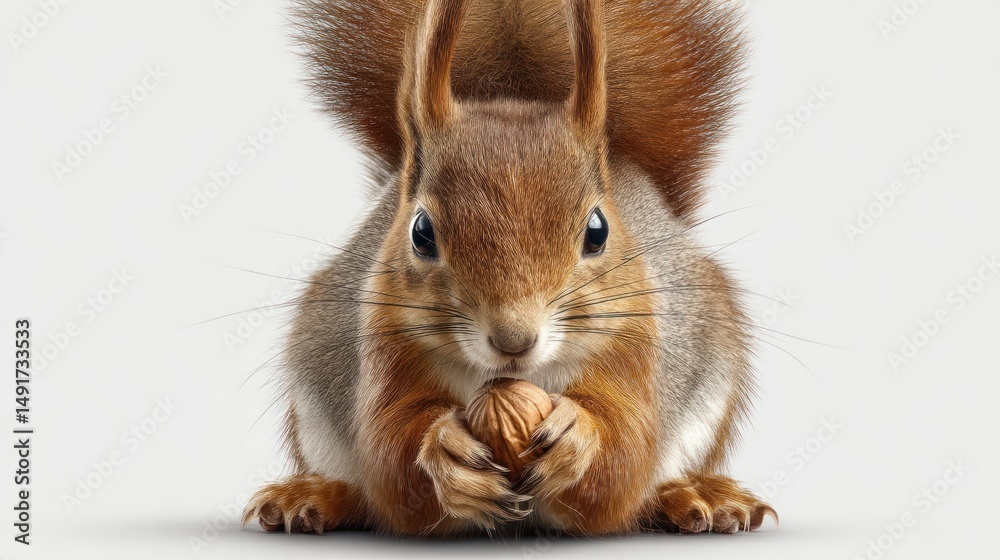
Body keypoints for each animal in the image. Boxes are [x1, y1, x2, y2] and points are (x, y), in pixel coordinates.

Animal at [242, 0, 777, 536]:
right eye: (421, 232)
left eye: (598, 230)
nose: (513, 340)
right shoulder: (387, 347)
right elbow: (391, 460)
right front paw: (443, 450)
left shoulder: (632, 348)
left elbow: (622, 460)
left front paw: (579, 437)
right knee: (361, 492)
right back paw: (313, 497)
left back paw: (696, 496)